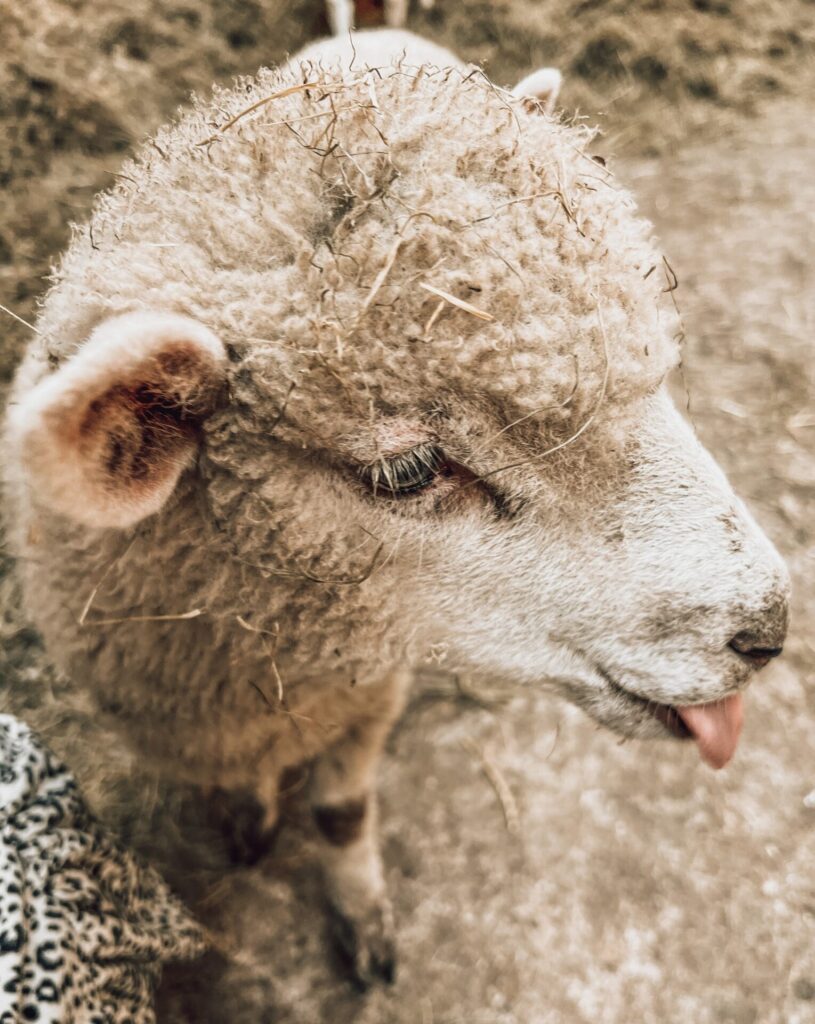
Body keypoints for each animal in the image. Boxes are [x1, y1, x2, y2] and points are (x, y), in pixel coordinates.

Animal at [1, 24, 790, 987]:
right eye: (409, 469)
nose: (768, 630)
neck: (255, 672)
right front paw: (250, 823)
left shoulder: (365, 698)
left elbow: (341, 815)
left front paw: (363, 921)